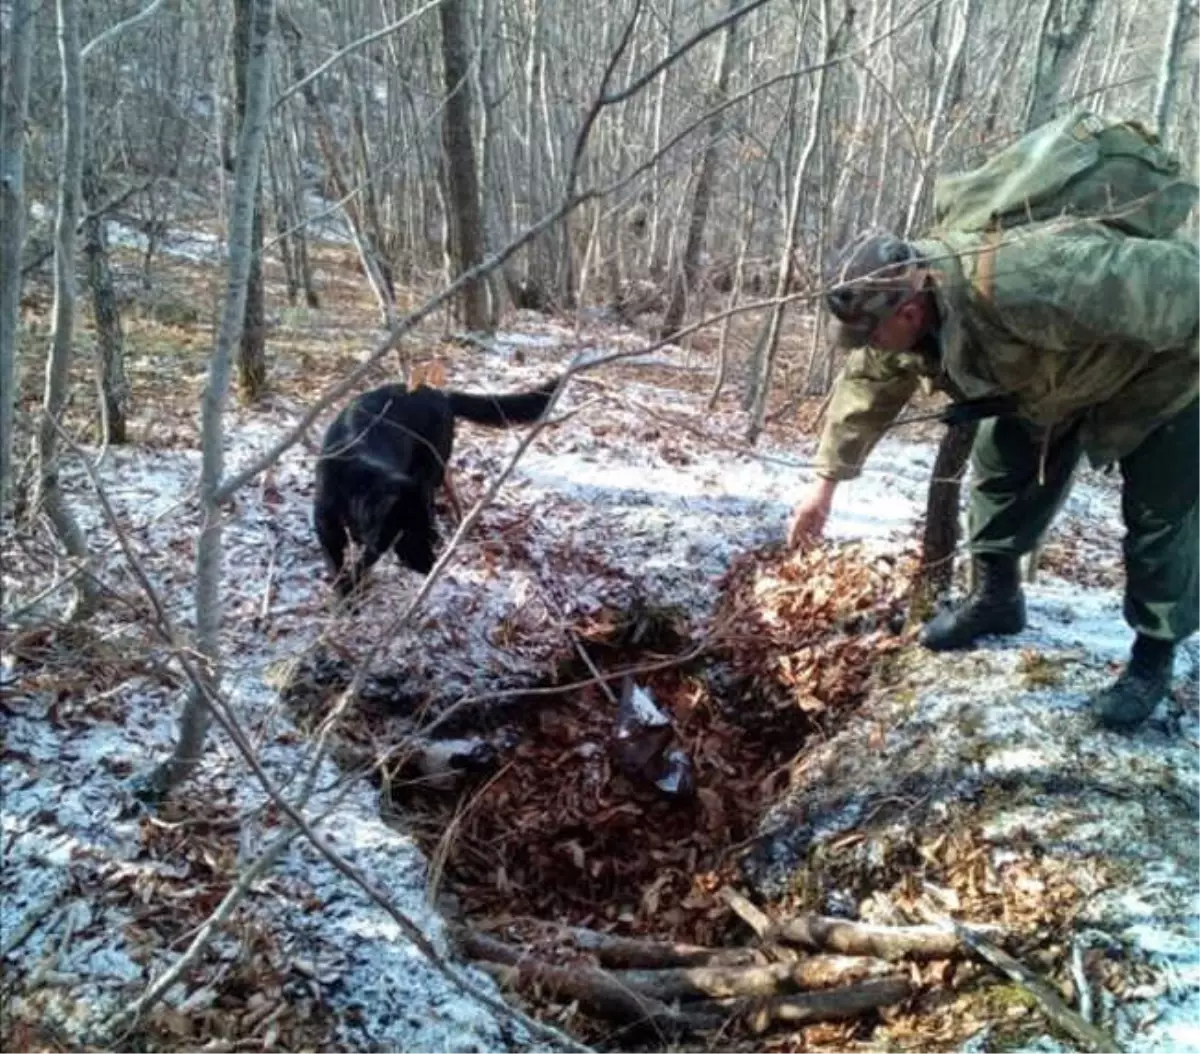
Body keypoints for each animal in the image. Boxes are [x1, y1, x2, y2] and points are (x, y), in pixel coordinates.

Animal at [314, 376, 556, 595]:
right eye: (408, 534)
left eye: (421, 534)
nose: (431, 567)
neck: (354, 480)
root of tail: (440, 393)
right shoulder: (327, 526)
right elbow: (336, 561)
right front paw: (344, 589)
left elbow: (365, 560)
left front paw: (351, 588)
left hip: (434, 465)